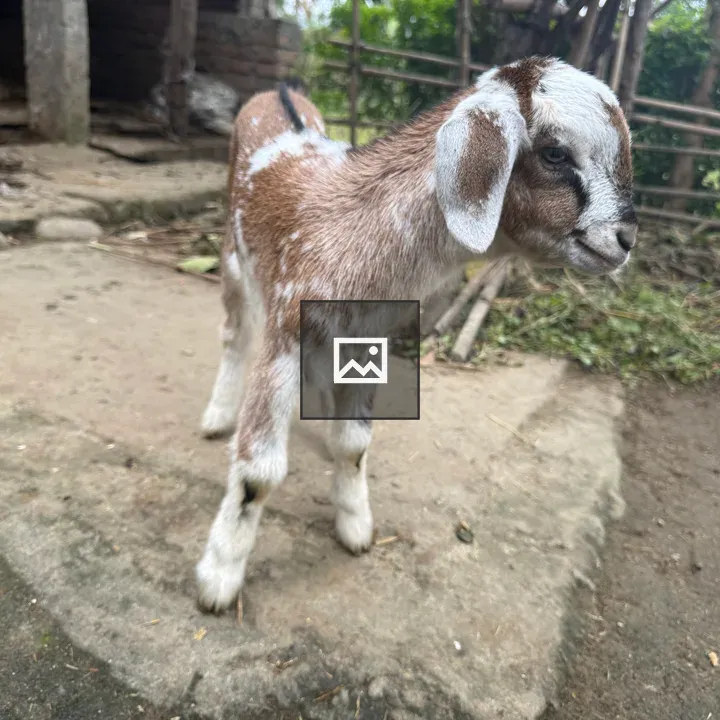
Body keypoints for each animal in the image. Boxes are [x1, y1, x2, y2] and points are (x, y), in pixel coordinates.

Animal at [195, 57, 638, 613]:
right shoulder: (284, 329)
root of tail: (278, 92)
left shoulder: (365, 338)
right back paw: (217, 415)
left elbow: (354, 443)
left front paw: (355, 525)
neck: (352, 233)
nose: (626, 240)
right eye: (556, 152)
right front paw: (219, 577)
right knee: (233, 333)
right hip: (234, 255)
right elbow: (258, 472)